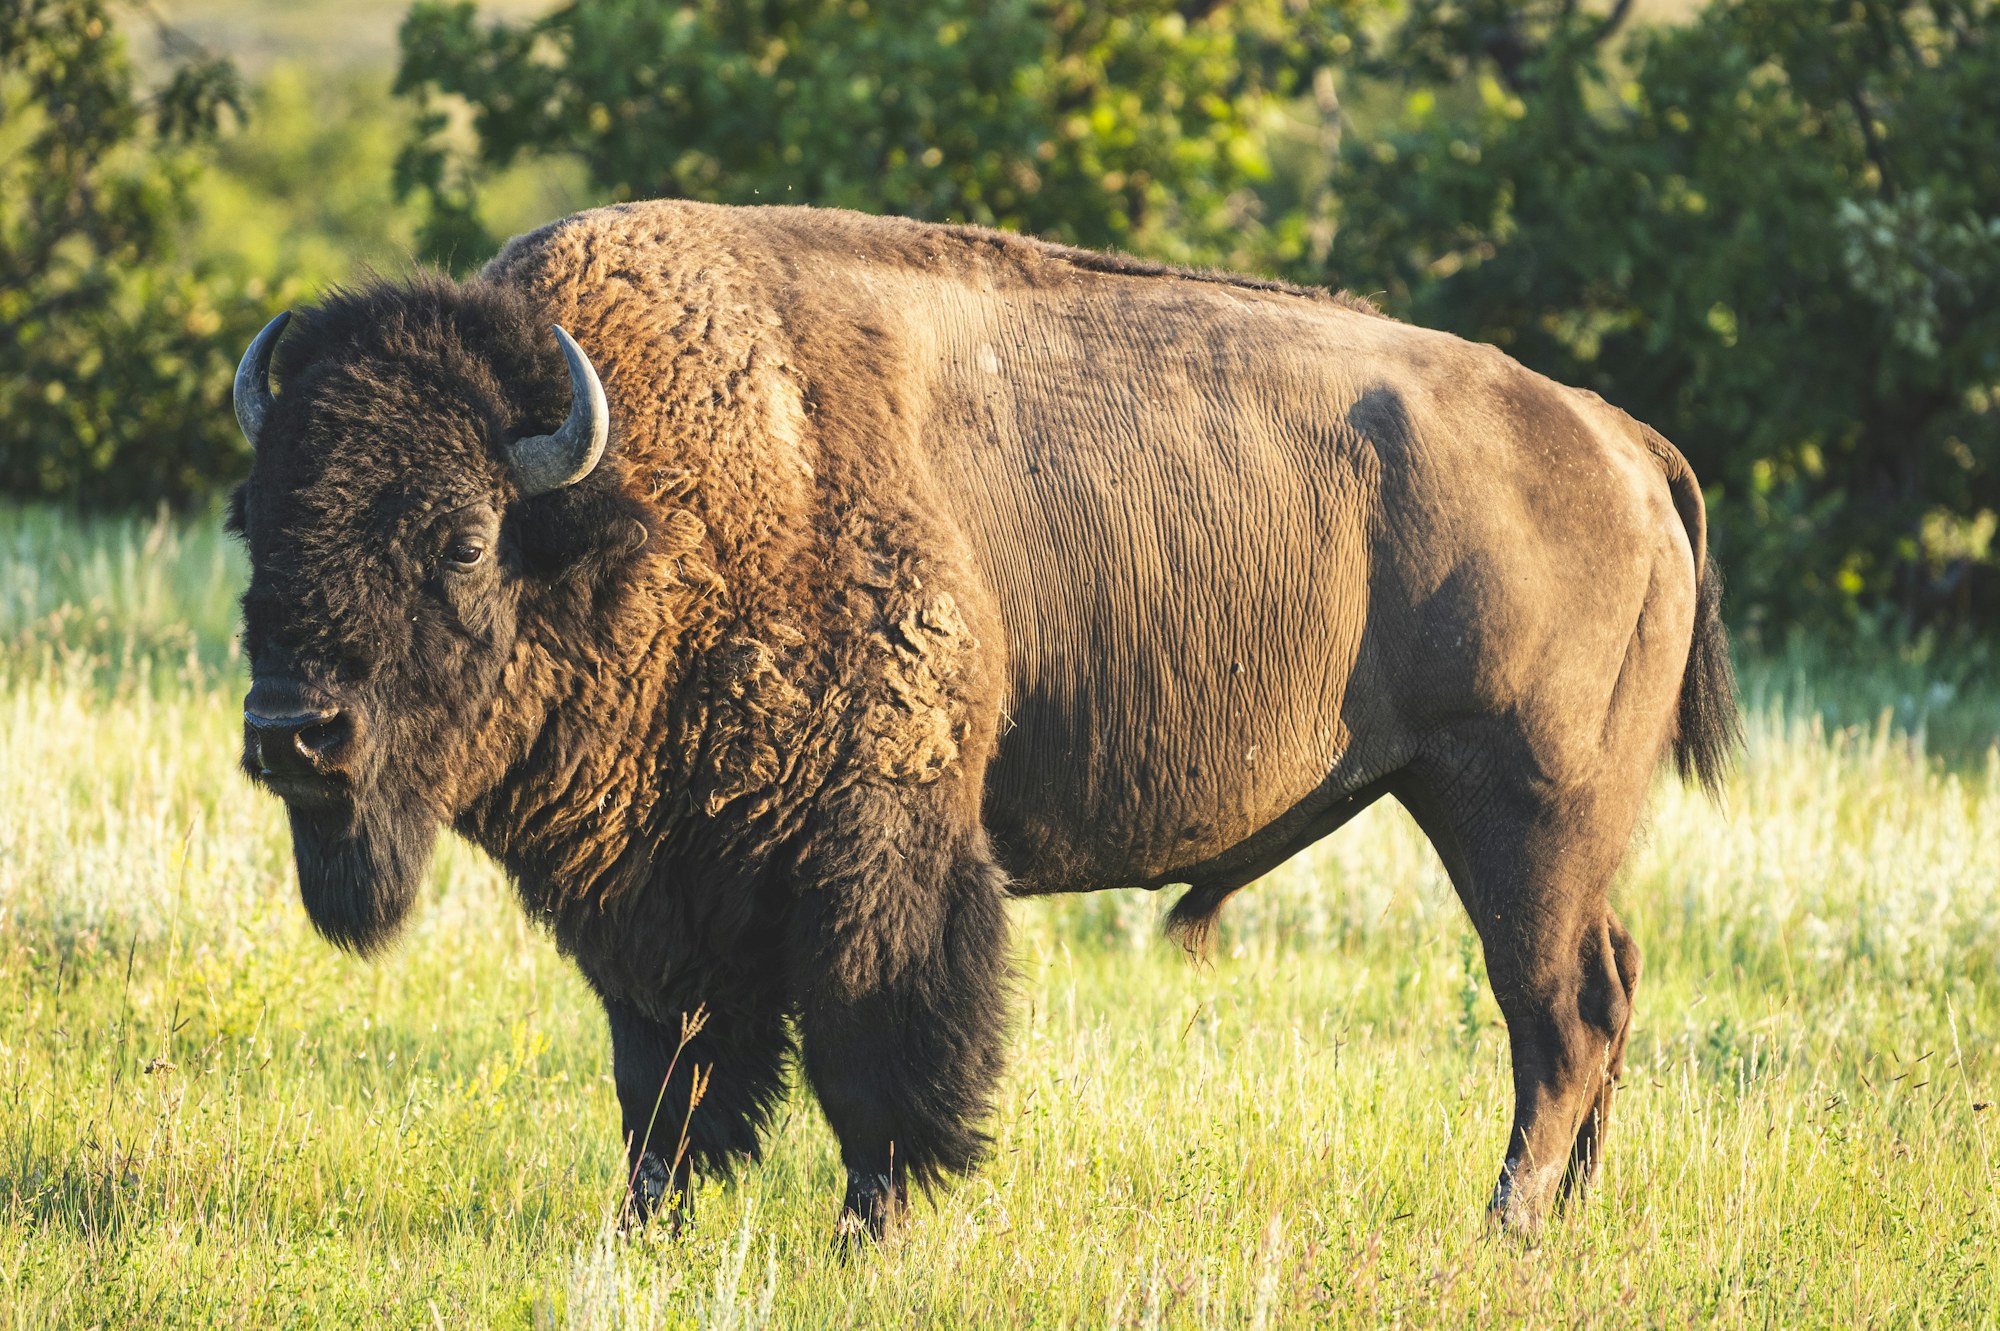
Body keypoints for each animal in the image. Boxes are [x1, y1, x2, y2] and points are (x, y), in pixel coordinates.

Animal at [227, 201, 1737, 1239]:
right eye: (259, 523)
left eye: (459, 538)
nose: (296, 730)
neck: (640, 499)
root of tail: (1619, 438)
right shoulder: (660, 889)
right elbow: (664, 1069)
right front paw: (644, 1225)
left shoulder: (871, 847)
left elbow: (875, 1040)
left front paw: (870, 1228)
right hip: (1545, 831)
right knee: (1607, 987)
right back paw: (1567, 1212)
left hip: (1514, 809)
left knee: (1556, 1010)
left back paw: (1506, 1220)